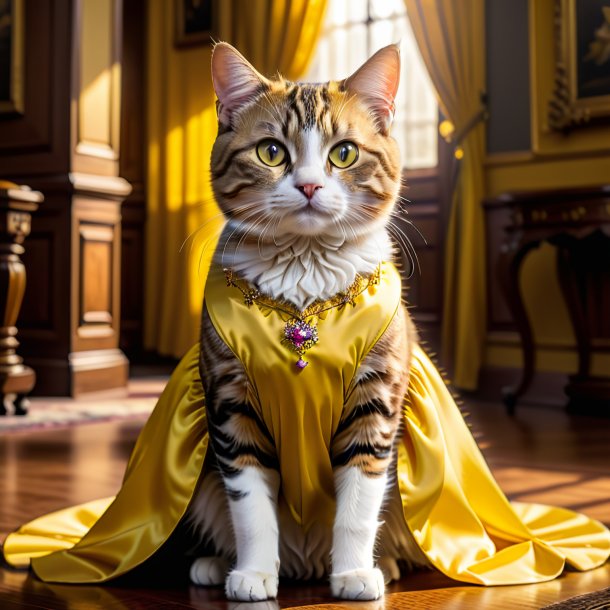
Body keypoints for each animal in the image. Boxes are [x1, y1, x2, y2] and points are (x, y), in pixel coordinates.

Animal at [185, 41, 428, 600]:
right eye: (272, 151)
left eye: (345, 152)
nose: (311, 185)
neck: (305, 270)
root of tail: (306, 562)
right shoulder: (232, 399)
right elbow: (249, 503)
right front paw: (253, 573)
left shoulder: (376, 396)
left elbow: (359, 501)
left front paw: (355, 573)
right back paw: (215, 564)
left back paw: (384, 564)